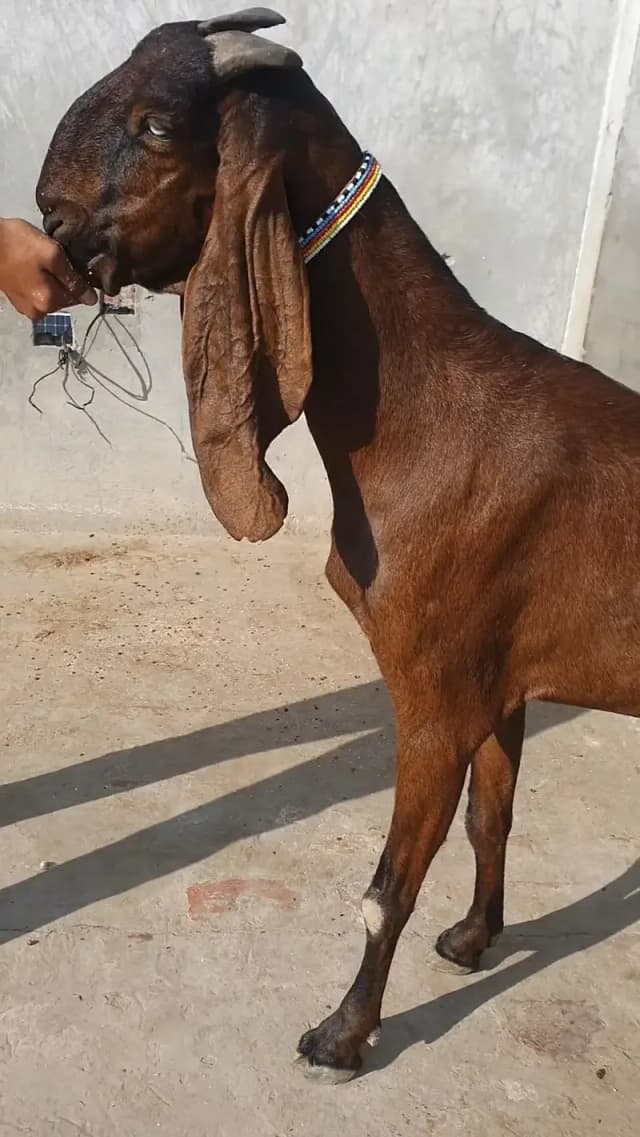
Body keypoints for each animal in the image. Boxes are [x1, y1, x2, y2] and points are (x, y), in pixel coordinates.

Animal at [37, 9, 640, 1083]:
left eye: (157, 125)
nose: (47, 221)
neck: (424, 413)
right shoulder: (501, 682)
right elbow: (492, 816)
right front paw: (476, 938)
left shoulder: (434, 693)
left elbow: (386, 884)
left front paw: (343, 1033)